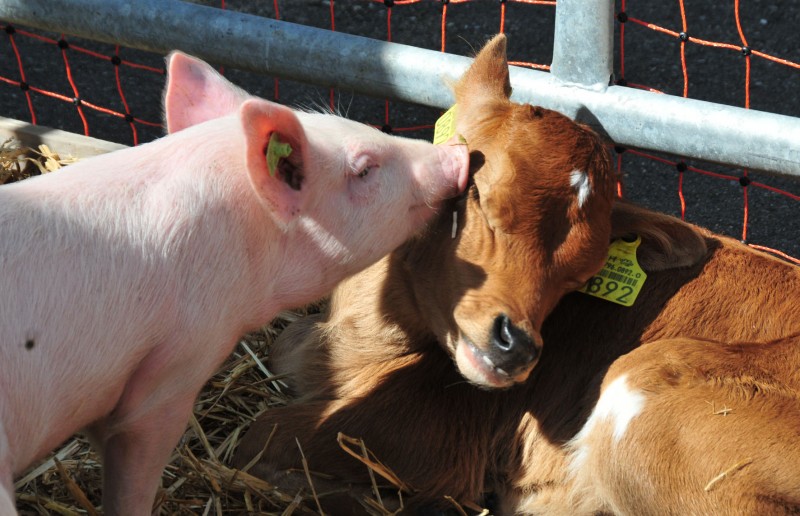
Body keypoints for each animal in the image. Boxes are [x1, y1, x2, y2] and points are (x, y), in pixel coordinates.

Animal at [231, 34, 800, 512]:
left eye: (582, 274)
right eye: (479, 196)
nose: (518, 346)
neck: (356, 340)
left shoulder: (426, 435)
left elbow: (256, 438)